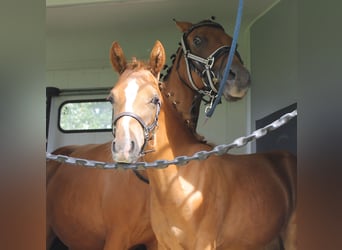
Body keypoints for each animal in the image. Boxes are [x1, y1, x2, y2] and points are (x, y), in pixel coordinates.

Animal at [110, 40, 296, 249]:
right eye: (111, 98)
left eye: (154, 99)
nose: (123, 149)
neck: (178, 180)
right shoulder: (164, 244)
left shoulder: (205, 243)